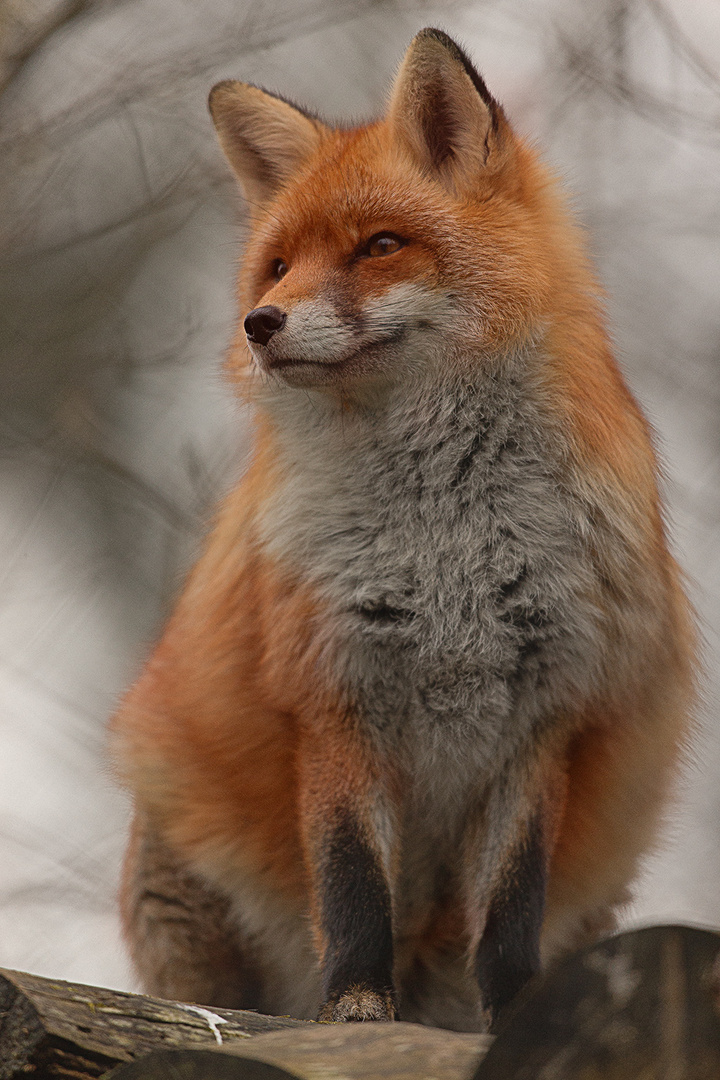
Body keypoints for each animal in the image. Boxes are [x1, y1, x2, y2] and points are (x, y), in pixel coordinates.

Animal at [111, 29, 699, 1032]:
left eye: (380, 246)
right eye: (278, 266)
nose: (259, 323)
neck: (445, 537)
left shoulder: (545, 716)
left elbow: (510, 909)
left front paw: (514, 1016)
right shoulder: (336, 697)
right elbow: (353, 885)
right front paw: (354, 1011)